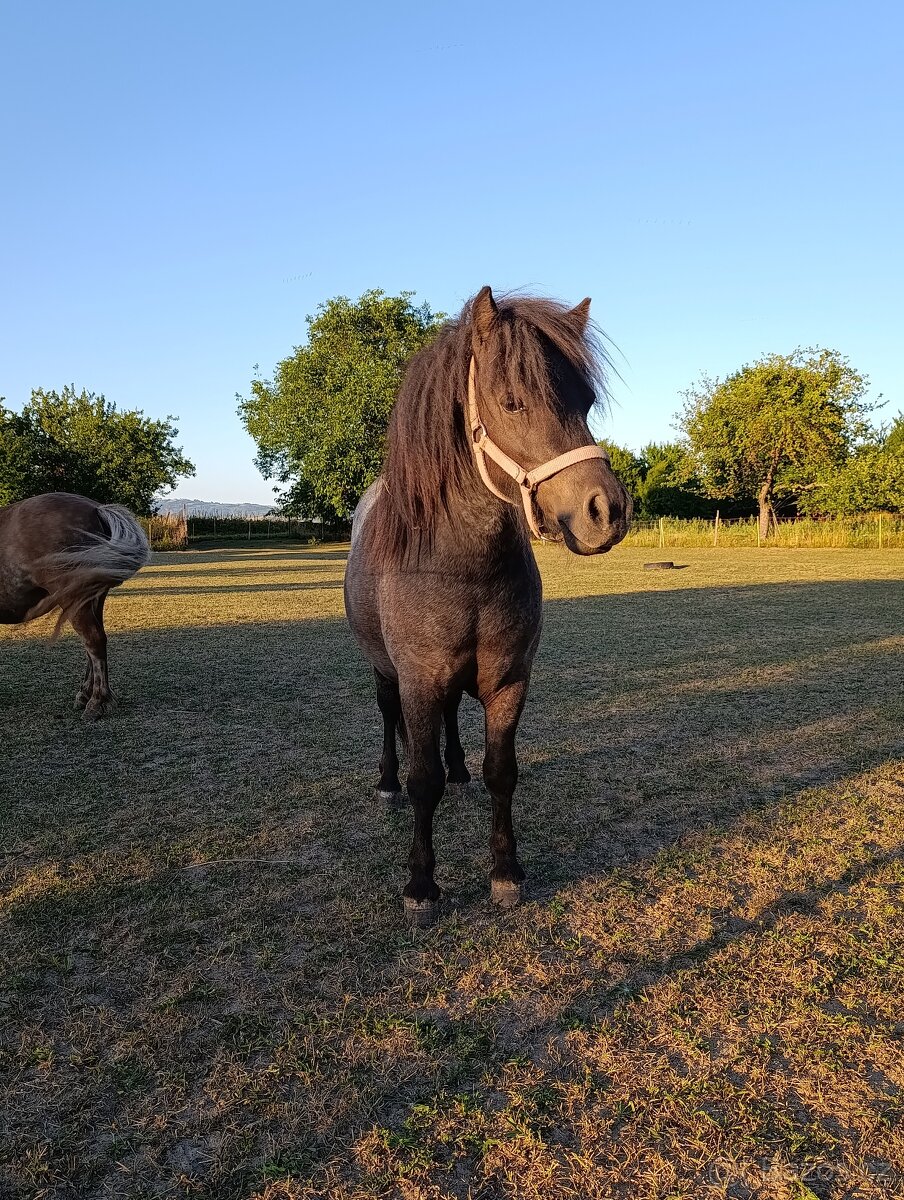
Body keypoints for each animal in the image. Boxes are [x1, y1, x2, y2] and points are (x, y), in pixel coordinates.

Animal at [0, 492, 150, 718]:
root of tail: (97, 509)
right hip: (92, 598)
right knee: (93, 643)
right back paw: (87, 694)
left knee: (93, 641)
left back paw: (97, 702)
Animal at [344, 287, 632, 924]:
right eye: (512, 402)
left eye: (587, 402)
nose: (607, 511)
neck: (462, 567)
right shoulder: (418, 679)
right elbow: (422, 779)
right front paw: (421, 885)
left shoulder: (508, 681)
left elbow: (502, 772)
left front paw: (505, 872)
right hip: (383, 670)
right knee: (388, 718)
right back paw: (386, 781)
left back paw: (459, 770)